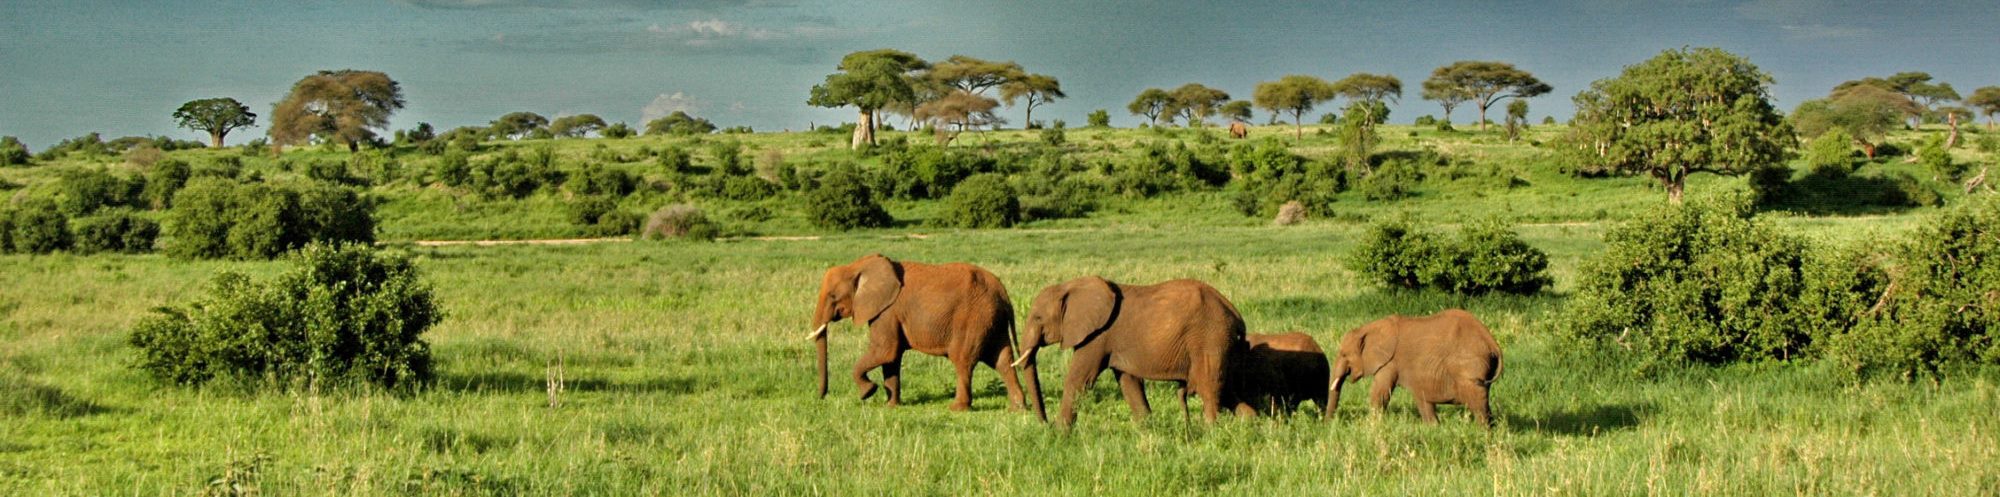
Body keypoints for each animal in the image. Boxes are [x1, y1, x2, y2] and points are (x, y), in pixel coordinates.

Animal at [808, 254, 1032, 412]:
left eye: (833, 296)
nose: (821, 397)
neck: (859, 266)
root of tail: (1003, 292)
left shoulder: (887, 312)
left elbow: (885, 351)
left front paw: (868, 392)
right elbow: (891, 358)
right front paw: (890, 406)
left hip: (973, 319)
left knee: (962, 360)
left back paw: (956, 409)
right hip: (991, 320)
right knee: (1003, 361)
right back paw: (1017, 408)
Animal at [1016, 276, 1248, 426]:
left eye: (1038, 318)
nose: (1044, 423)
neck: (1070, 285)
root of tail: (1235, 313)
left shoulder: (1097, 336)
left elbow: (1078, 379)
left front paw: (1060, 433)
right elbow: (1129, 382)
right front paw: (1147, 427)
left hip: (1210, 339)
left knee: (1209, 388)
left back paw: (1211, 430)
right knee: (1228, 390)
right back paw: (1250, 426)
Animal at [1328, 308, 1504, 424]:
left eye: (1344, 354)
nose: (1327, 424)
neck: (1368, 328)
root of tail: (1491, 341)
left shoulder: (1390, 362)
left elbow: (1379, 393)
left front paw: (1372, 425)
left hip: (1469, 365)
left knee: (1478, 403)